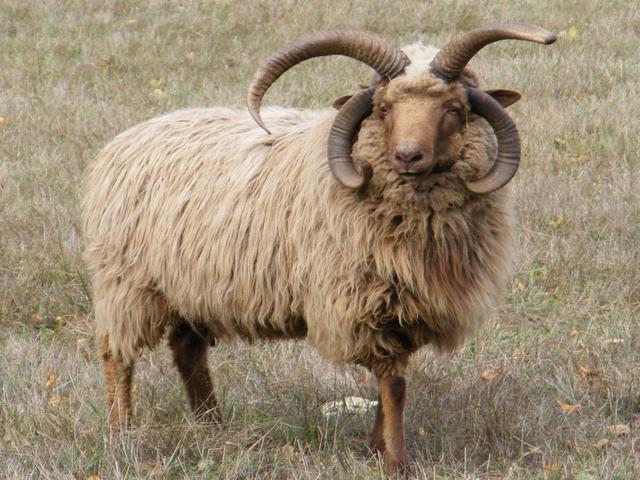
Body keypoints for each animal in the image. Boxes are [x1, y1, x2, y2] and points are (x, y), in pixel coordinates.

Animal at [83, 25, 556, 475]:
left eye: (454, 110)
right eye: (384, 109)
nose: (408, 156)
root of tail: (125, 141)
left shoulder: (402, 305)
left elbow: (392, 383)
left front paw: (376, 447)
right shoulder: (363, 301)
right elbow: (394, 385)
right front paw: (397, 462)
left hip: (191, 288)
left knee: (187, 350)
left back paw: (210, 423)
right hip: (129, 284)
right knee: (116, 356)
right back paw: (122, 433)